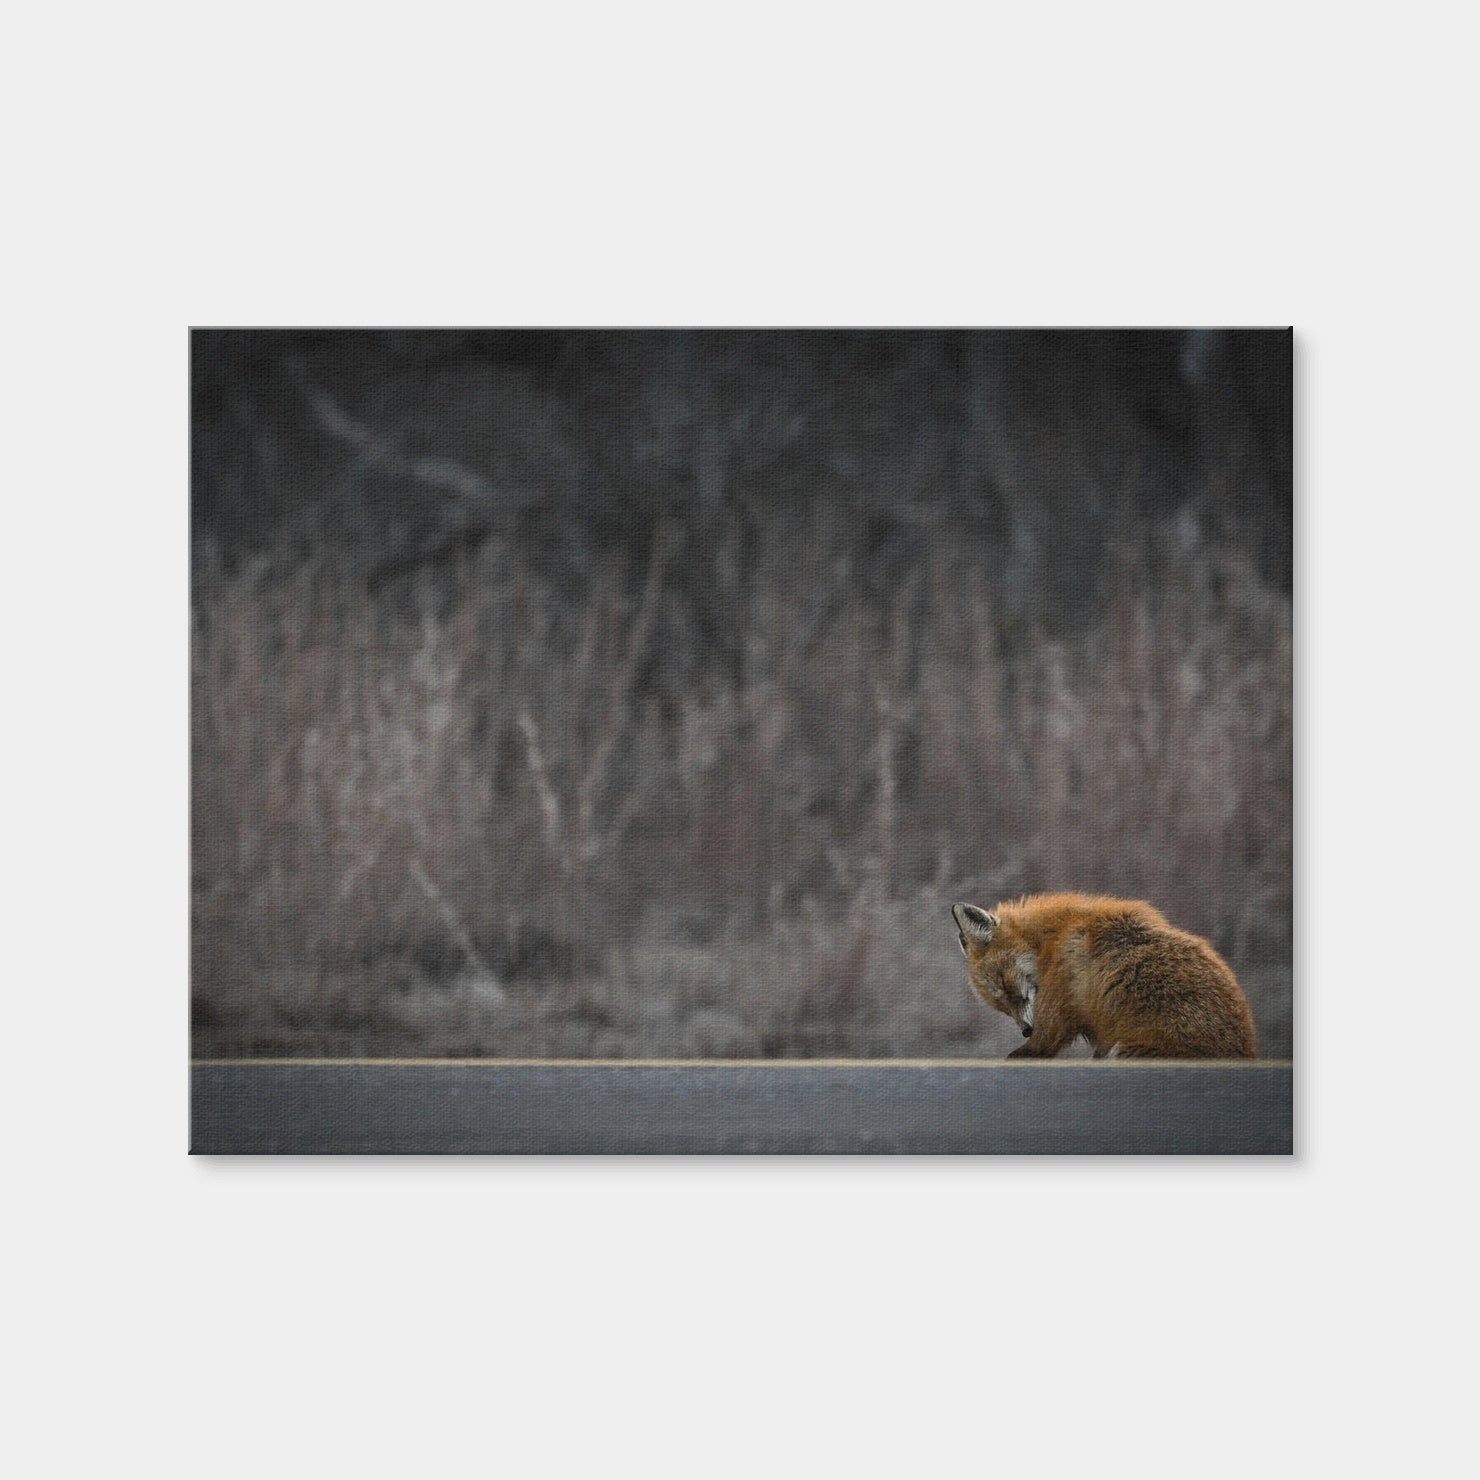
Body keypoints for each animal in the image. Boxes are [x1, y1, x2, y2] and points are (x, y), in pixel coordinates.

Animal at [951, 893, 1256, 1059]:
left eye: (1005, 985)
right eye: (1000, 1005)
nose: (1026, 1029)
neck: (1054, 937)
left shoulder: (1054, 1017)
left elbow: (1039, 1044)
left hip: (1122, 1050)